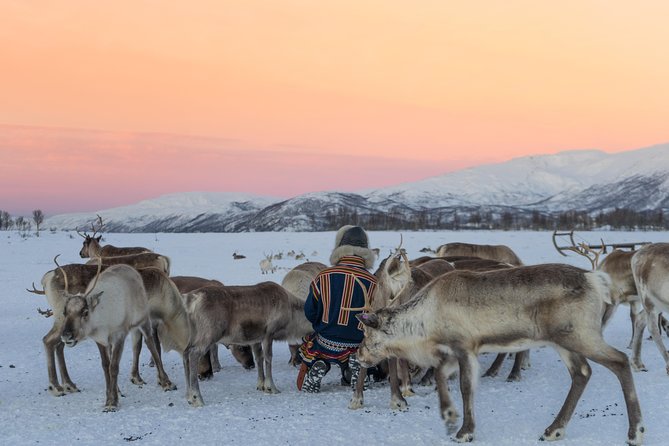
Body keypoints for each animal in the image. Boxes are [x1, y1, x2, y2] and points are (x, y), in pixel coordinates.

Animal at [59, 263, 175, 411]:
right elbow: (105, 366)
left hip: (143, 319)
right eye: (64, 312)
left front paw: (112, 402)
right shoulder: (100, 340)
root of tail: (129, 267)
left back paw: (166, 382)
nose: (66, 336)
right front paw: (111, 394)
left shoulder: (119, 336)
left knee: (150, 344)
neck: (102, 318)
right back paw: (119, 389)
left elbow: (113, 367)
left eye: (85, 312)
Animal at [180, 282, 313, 406]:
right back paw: (197, 398)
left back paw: (188, 396)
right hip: (209, 334)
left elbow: (259, 359)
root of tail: (191, 299)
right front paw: (271, 387)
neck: (292, 314)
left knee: (185, 355)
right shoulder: (268, 334)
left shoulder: (255, 339)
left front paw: (261, 385)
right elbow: (268, 358)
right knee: (193, 355)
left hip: (191, 337)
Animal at [355, 263, 644, 444]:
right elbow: (440, 377)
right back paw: (554, 430)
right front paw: (450, 417)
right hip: (563, 341)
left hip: (580, 335)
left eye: (367, 334)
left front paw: (464, 430)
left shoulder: (463, 346)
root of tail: (596, 281)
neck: (424, 323)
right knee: (582, 372)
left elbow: (465, 387)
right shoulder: (453, 352)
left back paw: (635, 433)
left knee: (620, 361)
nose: (359, 356)